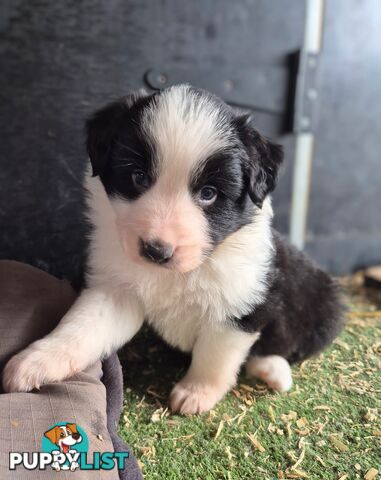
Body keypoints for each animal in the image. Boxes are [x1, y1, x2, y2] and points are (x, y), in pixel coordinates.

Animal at [2, 85, 342, 412]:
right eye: (139, 177)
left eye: (208, 193)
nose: (156, 251)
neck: (182, 272)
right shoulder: (115, 292)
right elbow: (80, 328)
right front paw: (35, 362)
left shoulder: (238, 305)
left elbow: (215, 357)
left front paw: (196, 394)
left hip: (325, 305)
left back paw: (273, 371)